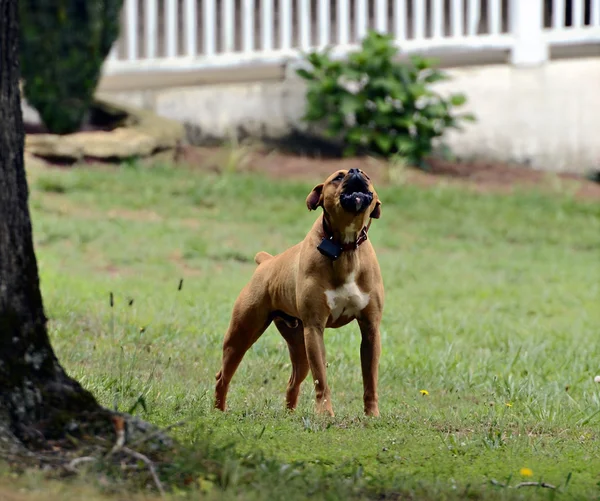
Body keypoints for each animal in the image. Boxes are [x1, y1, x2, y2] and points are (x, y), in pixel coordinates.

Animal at [216, 167, 384, 414]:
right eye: (338, 177)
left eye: (368, 176)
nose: (355, 171)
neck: (344, 246)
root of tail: (267, 262)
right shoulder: (314, 329)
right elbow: (321, 379)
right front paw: (325, 414)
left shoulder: (371, 330)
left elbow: (370, 380)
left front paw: (372, 415)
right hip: (241, 336)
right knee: (223, 377)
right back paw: (218, 411)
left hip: (298, 347)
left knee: (292, 383)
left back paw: (290, 415)